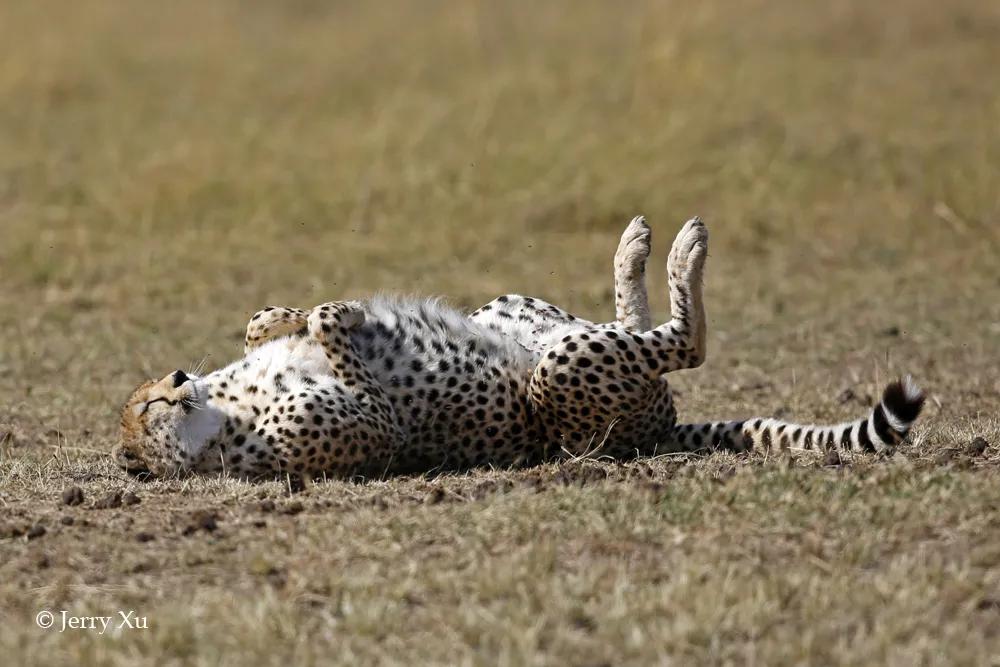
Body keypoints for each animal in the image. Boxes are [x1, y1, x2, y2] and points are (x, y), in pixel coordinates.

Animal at [115, 219, 920, 480]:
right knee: (684, 344)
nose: (177, 377)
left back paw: (639, 244)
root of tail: (655, 431)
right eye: (146, 408)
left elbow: (265, 320)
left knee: (637, 329)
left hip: (524, 314)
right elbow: (330, 332)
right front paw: (330, 314)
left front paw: (296, 316)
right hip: (559, 377)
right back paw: (682, 250)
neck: (219, 417)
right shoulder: (378, 431)